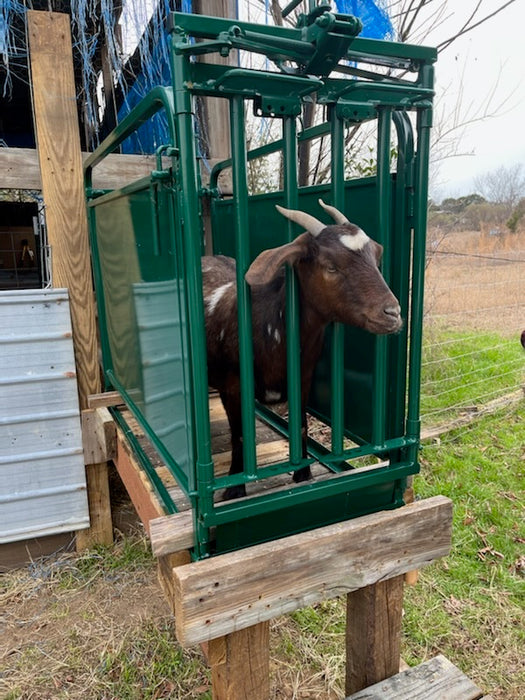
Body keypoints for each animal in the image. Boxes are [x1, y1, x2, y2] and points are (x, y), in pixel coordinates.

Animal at [202, 199, 403, 499]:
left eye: (375, 257)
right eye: (331, 266)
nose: (393, 313)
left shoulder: (303, 378)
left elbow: (302, 424)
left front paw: (303, 473)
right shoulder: (233, 387)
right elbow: (240, 434)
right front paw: (235, 489)